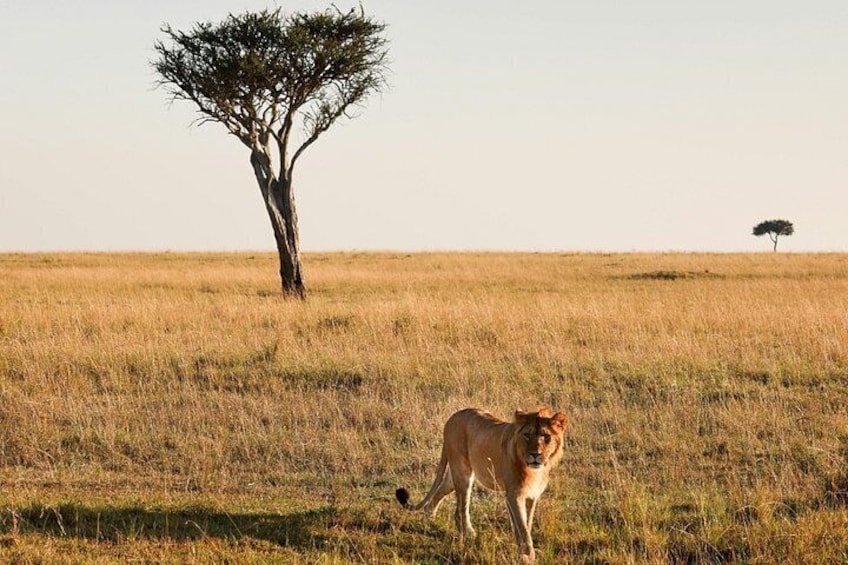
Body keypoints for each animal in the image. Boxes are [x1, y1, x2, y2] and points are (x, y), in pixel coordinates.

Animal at [396, 407, 568, 564]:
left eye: (546, 437)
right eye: (527, 435)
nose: (535, 454)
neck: (535, 471)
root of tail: (453, 417)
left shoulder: (531, 496)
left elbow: (526, 524)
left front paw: (522, 551)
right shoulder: (514, 495)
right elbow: (523, 527)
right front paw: (527, 555)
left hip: (453, 477)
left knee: (439, 495)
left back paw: (429, 519)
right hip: (463, 474)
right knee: (461, 510)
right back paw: (468, 533)